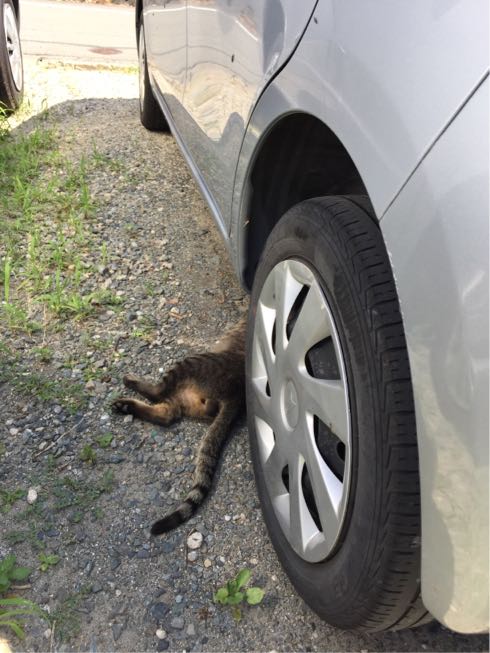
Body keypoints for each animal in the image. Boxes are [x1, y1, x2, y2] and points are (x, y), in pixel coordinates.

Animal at [112, 315, 247, 535]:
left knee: (158, 394)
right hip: (186, 396)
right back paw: (127, 405)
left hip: (190, 364)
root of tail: (236, 396)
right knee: (168, 414)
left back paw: (133, 384)